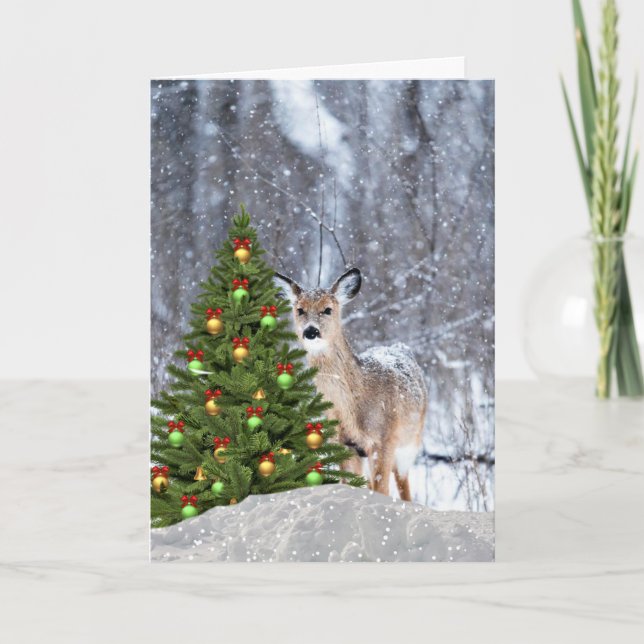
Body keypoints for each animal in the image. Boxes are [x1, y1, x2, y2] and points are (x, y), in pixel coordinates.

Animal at [275, 268, 427, 501]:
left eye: (327, 309)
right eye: (300, 310)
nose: (311, 331)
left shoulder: (384, 439)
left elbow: (382, 489)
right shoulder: (345, 444)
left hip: (411, 441)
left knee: (403, 483)